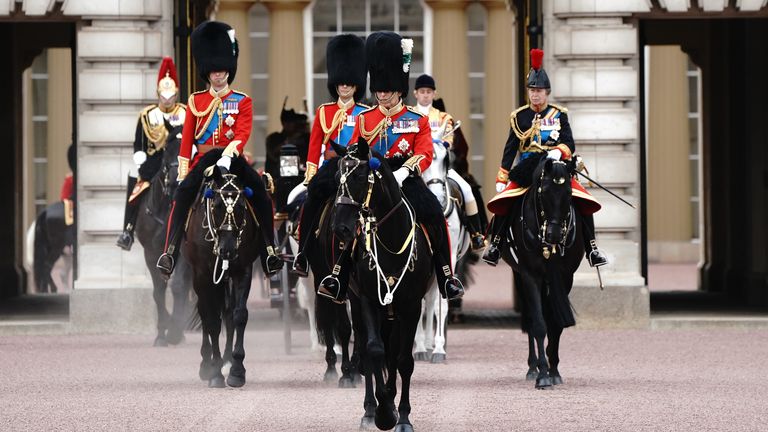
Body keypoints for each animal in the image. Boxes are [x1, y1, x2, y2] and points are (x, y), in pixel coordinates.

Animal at [134, 125, 192, 348]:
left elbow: (177, 287)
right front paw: (162, 331)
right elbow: (158, 292)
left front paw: (174, 330)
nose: (177, 179)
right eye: (167, 147)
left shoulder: (182, 253)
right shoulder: (151, 253)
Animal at [183, 154, 264, 390]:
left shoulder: (242, 270)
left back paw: (226, 360)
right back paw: (207, 363)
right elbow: (211, 321)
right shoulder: (203, 275)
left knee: (227, 313)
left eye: (242, 207)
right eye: (217, 205)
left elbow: (238, 315)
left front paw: (237, 370)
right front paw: (215, 373)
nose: (227, 250)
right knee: (205, 312)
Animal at [328, 140, 436, 430]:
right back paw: (370, 410)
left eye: (357, 176)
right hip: (359, 303)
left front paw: (403, 416)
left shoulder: (411, 306)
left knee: (395, 353)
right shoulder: (368, 300)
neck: (391, 241)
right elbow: (374, 351)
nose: (340, 228)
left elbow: (404, 360)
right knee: (371, 352)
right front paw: (384, 412)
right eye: (336, 177)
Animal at [498, 156, 584, 388]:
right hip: (520, 276)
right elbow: (538, 324)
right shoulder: (530, 275)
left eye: (569, 193)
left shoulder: (565, 277)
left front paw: (554, 371)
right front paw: (543, 374)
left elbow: (555, 323)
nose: (554, 236)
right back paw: (532, 367)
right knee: (530, 318)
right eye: (544, 192)